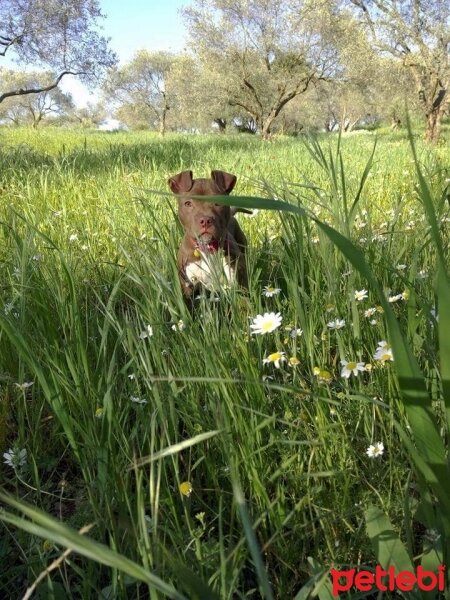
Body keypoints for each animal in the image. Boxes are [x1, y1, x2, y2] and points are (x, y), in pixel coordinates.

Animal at [167, 170, 248, 298]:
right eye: (188, 203)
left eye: (219, 202)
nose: (205, 220)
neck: (207, 249)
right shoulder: (187, 287)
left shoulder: (239, 283)